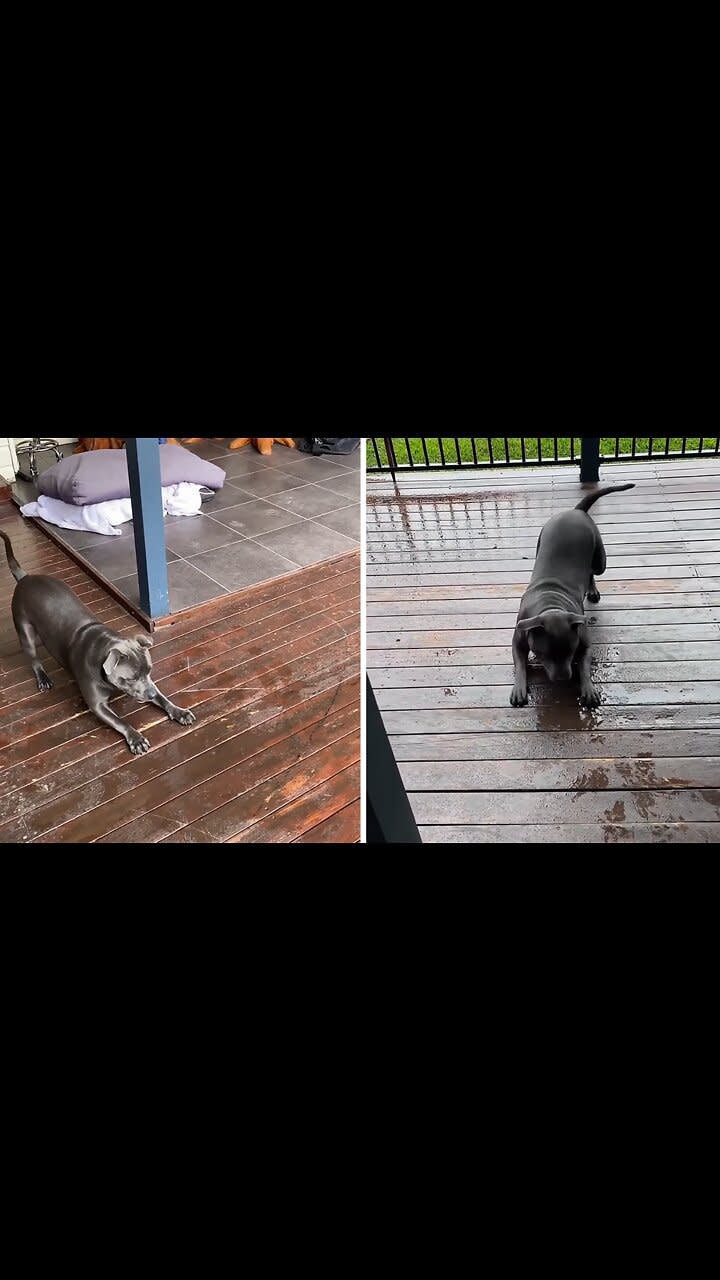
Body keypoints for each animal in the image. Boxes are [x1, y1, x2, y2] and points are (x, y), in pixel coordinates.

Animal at [1, 527, 194, 752]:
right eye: (130, 679)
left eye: (149, 671)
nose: (150, 695)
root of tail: (25, 578)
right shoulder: (97, 705)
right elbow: (121, 721)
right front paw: (136, 738)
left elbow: (163, 698)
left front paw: (178, 711)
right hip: (25, 630)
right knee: (33, 658)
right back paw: (43, 678)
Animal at [507, 483, 630, 716]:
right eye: (546, 654)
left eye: (571, 651)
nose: (564, 677)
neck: (550, 606)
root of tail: (577, 510)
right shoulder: (518, 639)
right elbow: (519, 665)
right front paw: (518, 688)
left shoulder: (584, 642)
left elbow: (584, 666)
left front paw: (588, 689)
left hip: (600, 560)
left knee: (591, 571)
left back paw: (592, 590)